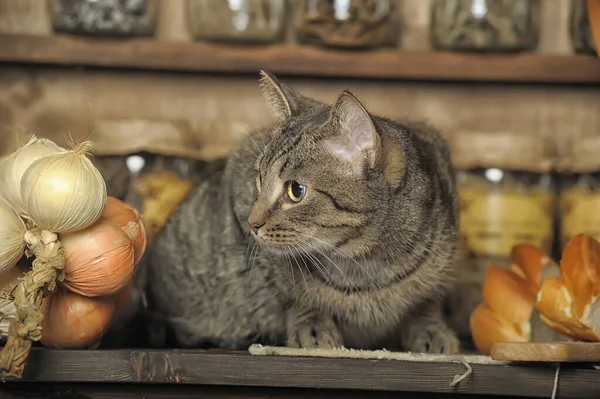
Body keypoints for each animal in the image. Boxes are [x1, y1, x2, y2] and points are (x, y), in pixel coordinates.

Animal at [143, 71, 462, 354]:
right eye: (258, 179)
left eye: (296, 190)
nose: (252, 223)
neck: (368, 266)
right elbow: (295, 292)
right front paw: (314, 326)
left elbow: (428, 300)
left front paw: (431, 330)